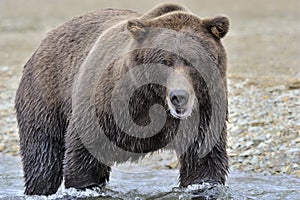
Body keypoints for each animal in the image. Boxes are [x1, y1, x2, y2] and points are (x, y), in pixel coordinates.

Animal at [14, 3, 230, 195]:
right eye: (164, 60)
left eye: (194, 60)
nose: (179, 97)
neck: (153, 101)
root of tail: (47, 38)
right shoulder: (108, 106)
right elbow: (84, 155)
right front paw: (84, 186)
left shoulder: (205, 110)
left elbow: (202, 162)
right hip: (46, 93)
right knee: (43, 157)